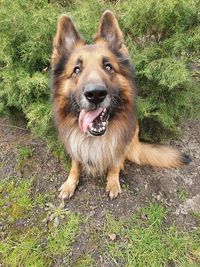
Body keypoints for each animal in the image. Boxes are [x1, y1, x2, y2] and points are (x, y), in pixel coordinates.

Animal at [50, 11, 190, 201]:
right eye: (76, 70)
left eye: (108, 67)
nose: (95, 94)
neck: (95, 139)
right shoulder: (74, 145)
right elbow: (75, 164)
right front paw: (70, 183)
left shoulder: (119, 143)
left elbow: (115, 164)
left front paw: (113, 182)